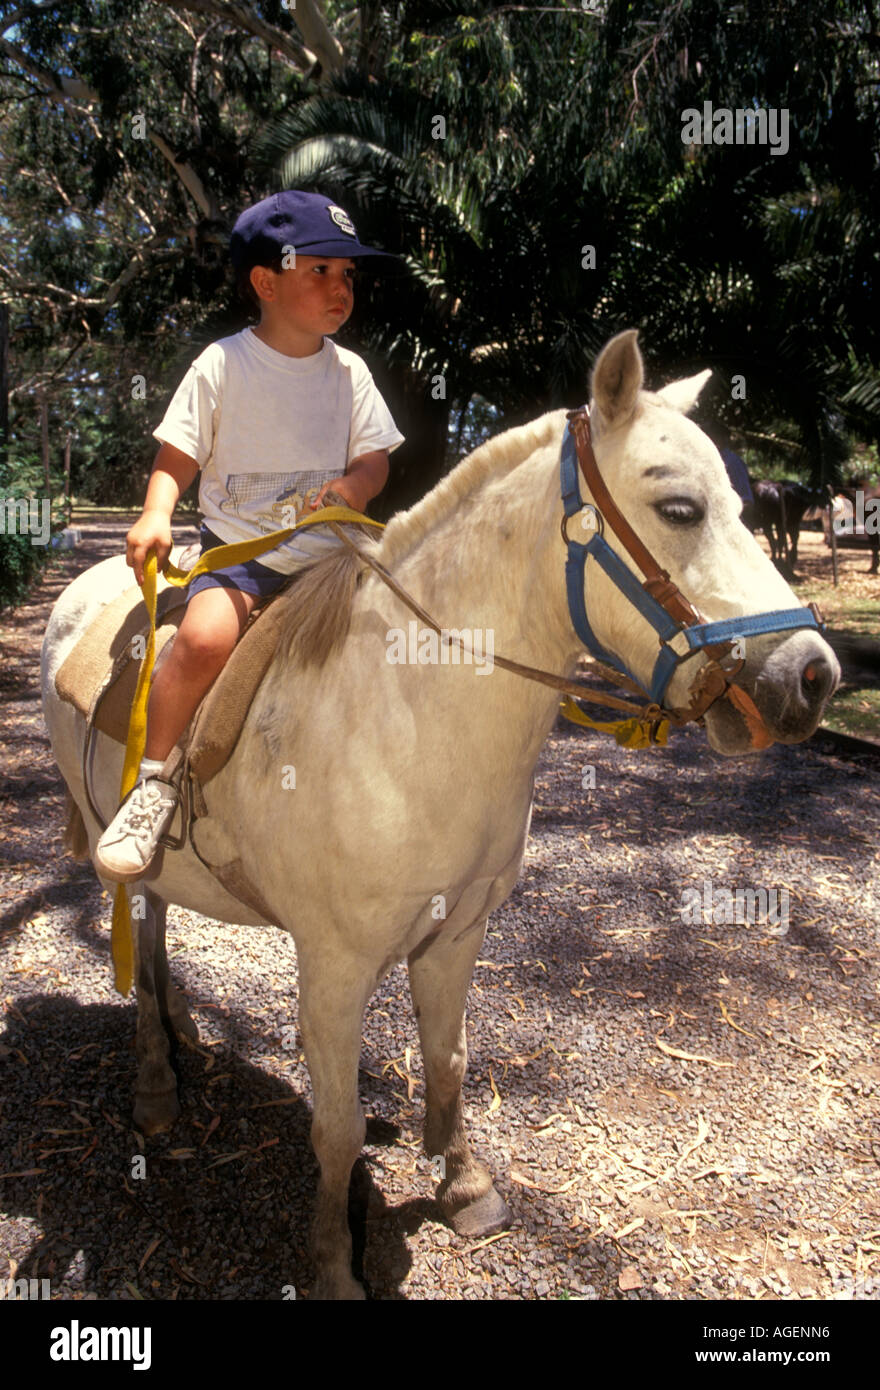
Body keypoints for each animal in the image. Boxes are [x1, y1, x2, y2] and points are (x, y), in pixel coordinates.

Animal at [42, 330, 839, 1295]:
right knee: (140, 925)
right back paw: (156, 1078)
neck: (407, 710)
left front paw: (463, 1188)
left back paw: (182, 1033)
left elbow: (450, 1060)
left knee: (158, 921)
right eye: (680, 507)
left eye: (742, 503)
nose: (812, 675)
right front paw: (333, 1262)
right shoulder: (334, 966)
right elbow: (337, 1128)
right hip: (110, 838)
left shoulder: (459, 931)